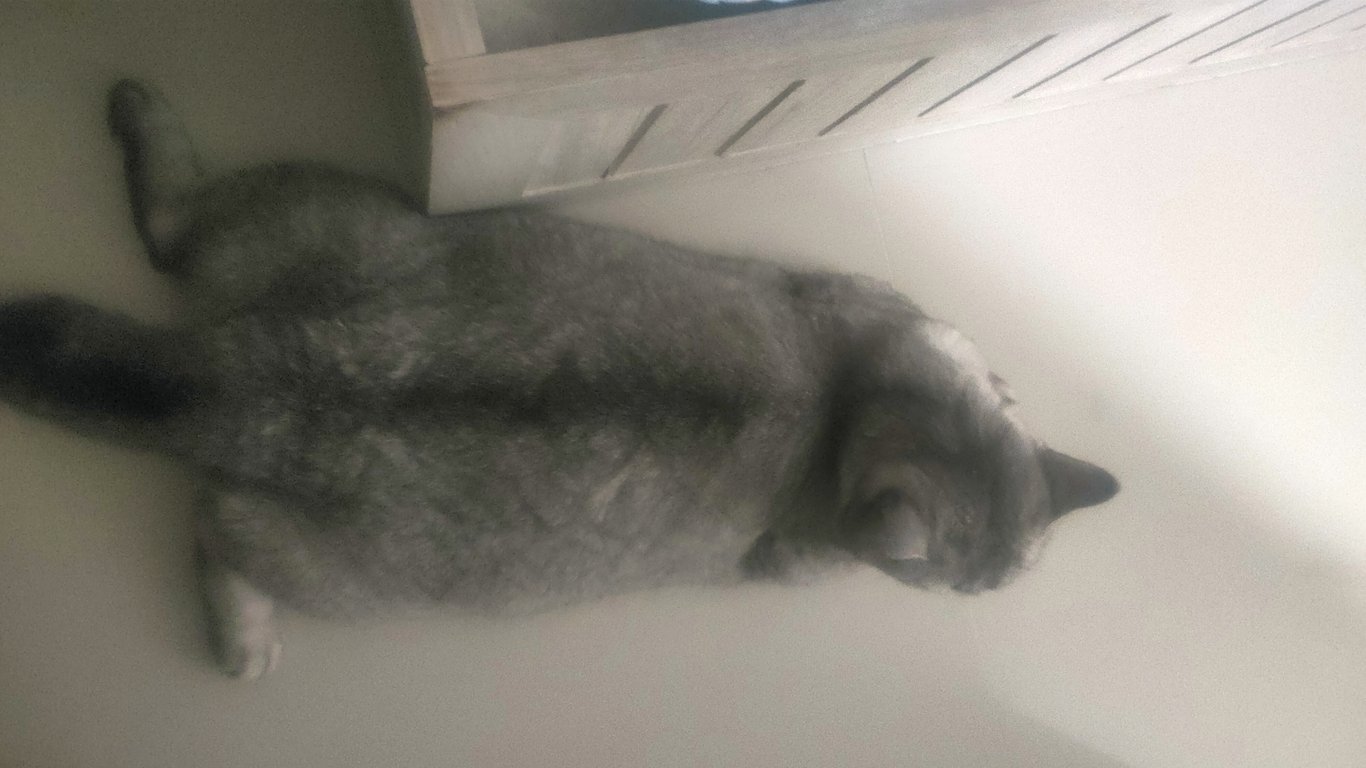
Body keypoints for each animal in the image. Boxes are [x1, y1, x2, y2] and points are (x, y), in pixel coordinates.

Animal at [0, 80, 1118, 680]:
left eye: (1003, 582)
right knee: (208, 523)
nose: (976, 596)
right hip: (330, 571)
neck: (853, 405)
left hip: (311, 215)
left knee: (171, 230)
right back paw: (244, 639)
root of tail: (261, 373)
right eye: (959, 583)